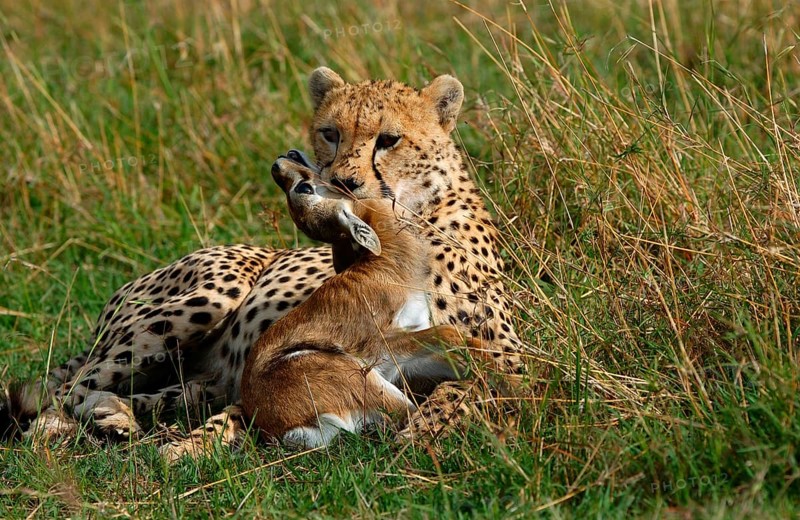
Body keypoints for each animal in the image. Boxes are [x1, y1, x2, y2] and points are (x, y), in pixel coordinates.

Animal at [1, 67, 528, 457]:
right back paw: (82, 423)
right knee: (62, 394)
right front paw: (189, 448)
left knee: (169, 393)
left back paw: (118, 416)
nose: (345, 181)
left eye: (389, 140)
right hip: (208, 296)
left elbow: (469, 383)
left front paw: (428, 427)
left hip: (199, 372)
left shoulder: (512, 358)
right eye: (330, 134)